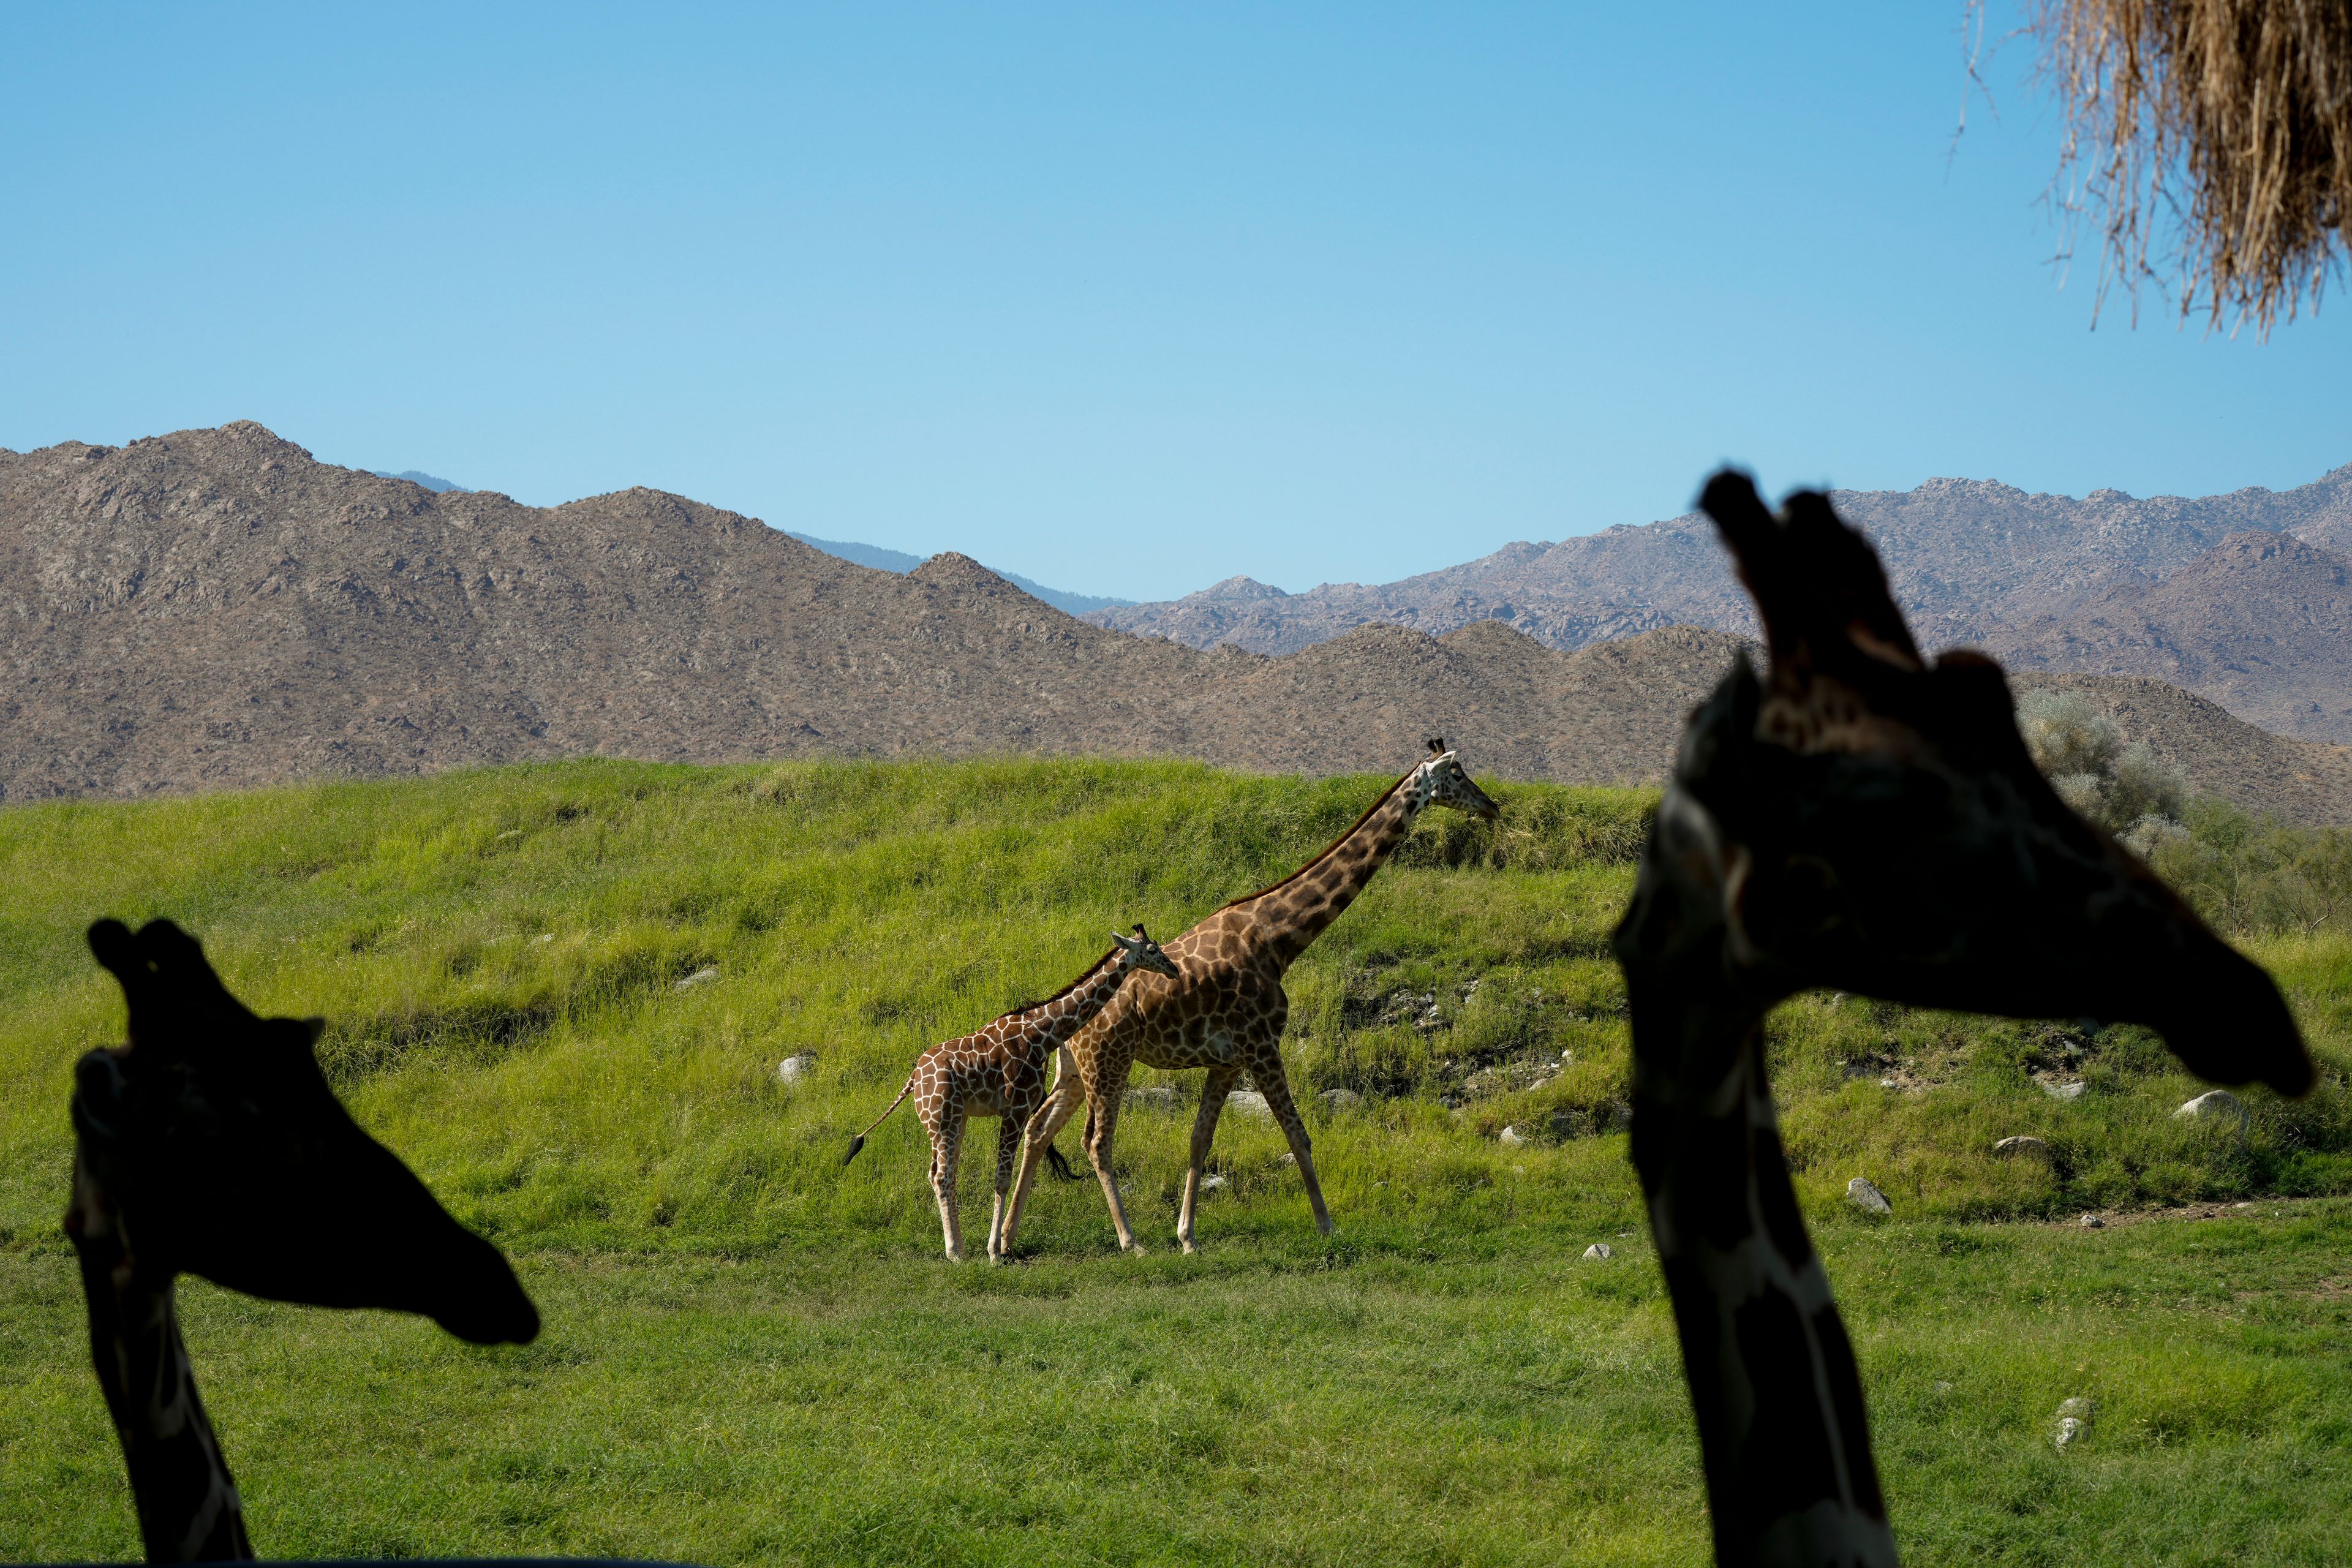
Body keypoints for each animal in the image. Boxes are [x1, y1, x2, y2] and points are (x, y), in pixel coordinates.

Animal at [842, 926, 1176, 1269]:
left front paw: (995, 1247)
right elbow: (1001, 1179)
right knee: (943, 1177)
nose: (1174, 970)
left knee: (938, 1174)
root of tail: (912, 1080)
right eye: (1152, 950)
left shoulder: (1019, 1108)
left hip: (952, 1120)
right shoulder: (1015, 1107)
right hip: (943, 1118)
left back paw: (960, 1247)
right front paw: (994, 1251)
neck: (1043, 1033)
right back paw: (955, 1252)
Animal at [1001, 742, 1496, 1260]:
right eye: (1457, 774)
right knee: (1096, 1142)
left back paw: (1008, 1239)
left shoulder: (1228, 1061)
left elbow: (1200, 1140)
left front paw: (1188, 1236)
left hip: (1075, 1069)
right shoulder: (1262, 1045)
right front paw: (1327, 1227)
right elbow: (1298, 1134)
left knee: (1038, 1130)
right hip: (1108, 1059)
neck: (1279, 938)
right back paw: (1128, 1240)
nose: (1492, 806)